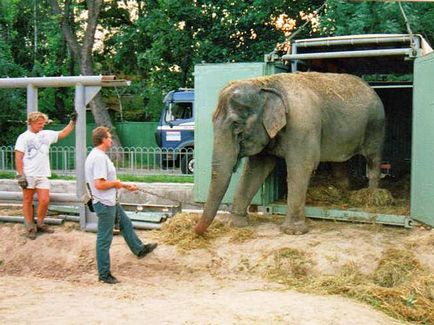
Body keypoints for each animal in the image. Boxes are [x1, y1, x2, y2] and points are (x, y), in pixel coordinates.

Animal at [195, 71, 384, 234]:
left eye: (236, 125)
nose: (197, 232)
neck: (266, 84)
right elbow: (256, 169)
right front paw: (238, 224)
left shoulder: (302, 124)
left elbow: (301, 166)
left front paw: (292, 232)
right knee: (341, 161)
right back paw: (343, 190)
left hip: (376, 125)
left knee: (373, 159)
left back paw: (372, 197)